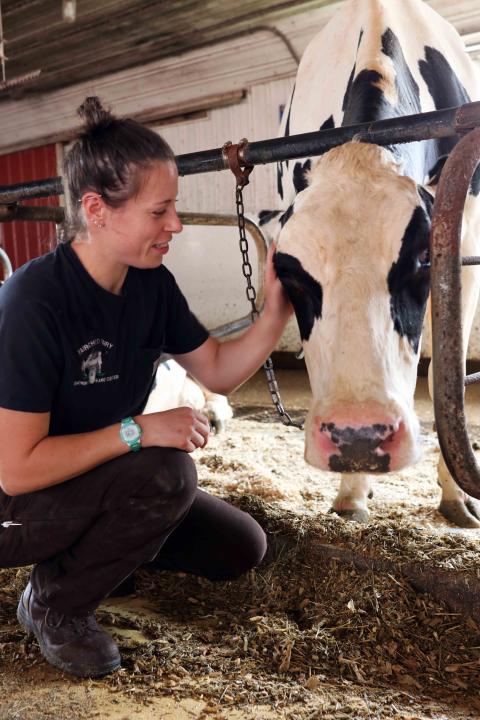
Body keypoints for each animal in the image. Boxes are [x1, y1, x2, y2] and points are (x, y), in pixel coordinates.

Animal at [260, 0, 480, 528]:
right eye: (290, 273)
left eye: (424, 256)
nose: (359, 436)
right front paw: (352, 492)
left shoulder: (466, 240)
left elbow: (447, 379)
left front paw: (456, 497)